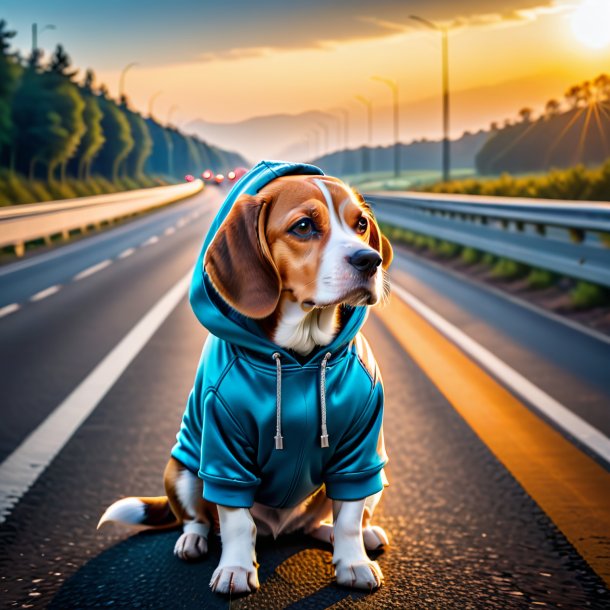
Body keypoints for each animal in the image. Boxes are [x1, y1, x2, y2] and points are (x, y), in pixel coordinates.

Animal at [97, 160, 392, 592]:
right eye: (304, 226)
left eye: (361, 224)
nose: (370, 260)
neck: (300, 357)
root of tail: (280, 529)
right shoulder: (224, 451)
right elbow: (237, 523)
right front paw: (235, 569)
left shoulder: (361, 451)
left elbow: (350, 515)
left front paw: (353, 562)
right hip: (183, 467)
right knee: (201, 518)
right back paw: (193, 541)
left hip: (378, 475)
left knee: (329, 519)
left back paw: (345, 533)